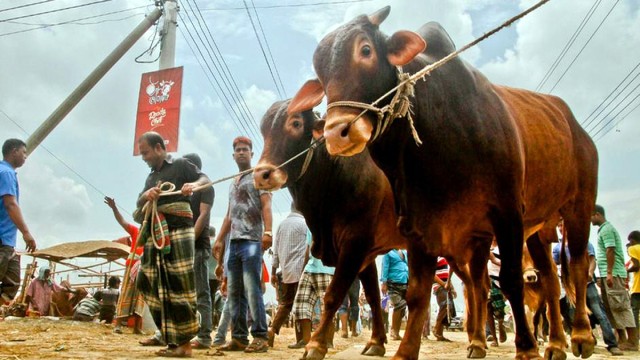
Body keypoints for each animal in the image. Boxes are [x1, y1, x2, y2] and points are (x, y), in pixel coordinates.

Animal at [288, 6, 596, 360]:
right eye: (320, 73)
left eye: (365, 50)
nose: (337, 133)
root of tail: (573, 123)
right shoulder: (420, 224)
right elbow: (417, 294)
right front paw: (405, 351)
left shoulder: (507, 213)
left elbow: (512, 280)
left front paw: (527, 348)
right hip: (537, 231)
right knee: (548, 281)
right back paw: (554, 343)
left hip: (578, 205)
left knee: (574, 266)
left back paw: (581, 336)